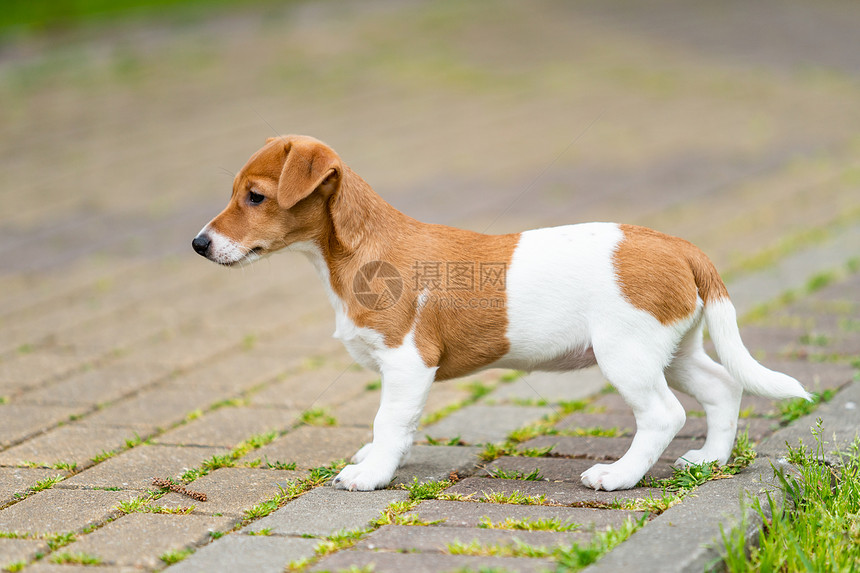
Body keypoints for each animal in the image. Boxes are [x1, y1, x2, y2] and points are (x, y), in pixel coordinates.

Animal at [191, 135, 808, 492]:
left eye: (255, 197)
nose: (197, 244)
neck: (353, 251)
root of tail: (681, 245)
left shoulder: (408, 364)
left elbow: (389, 422)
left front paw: (371, 474)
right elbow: (396, 425)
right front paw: (378, 460)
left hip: (627, 356)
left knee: (663, 415)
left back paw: (618, 476)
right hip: (673, 350)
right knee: (722, 388)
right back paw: (709, 460)